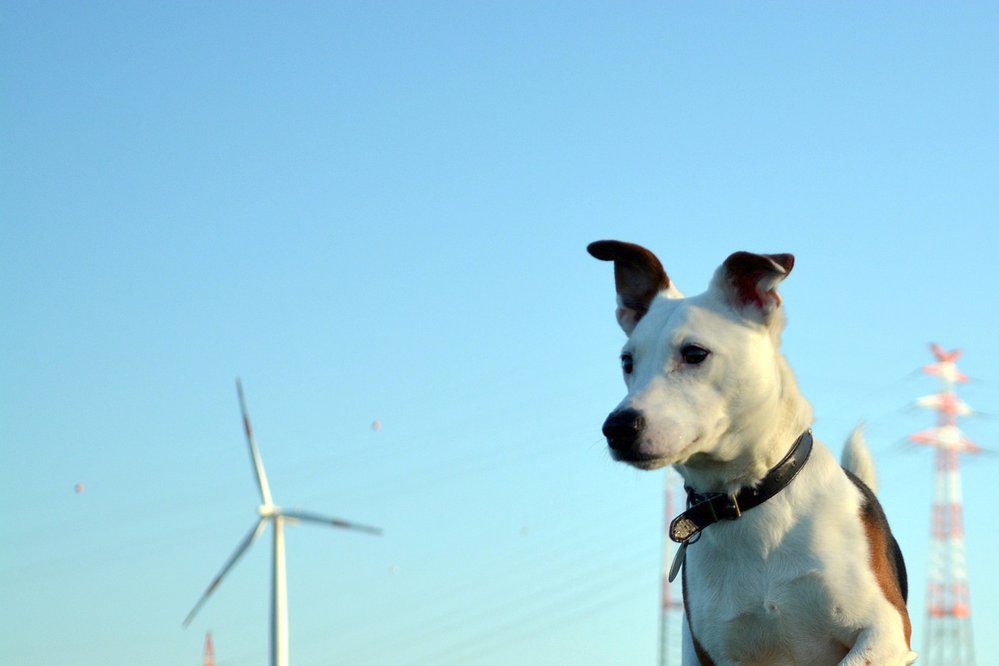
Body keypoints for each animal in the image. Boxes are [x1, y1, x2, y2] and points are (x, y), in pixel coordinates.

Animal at [588, 240, 916, 664]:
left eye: (694, 353)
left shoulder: (885, 632)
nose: (617, 428)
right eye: (628, 362)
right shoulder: (716, 652)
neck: (748, 498)